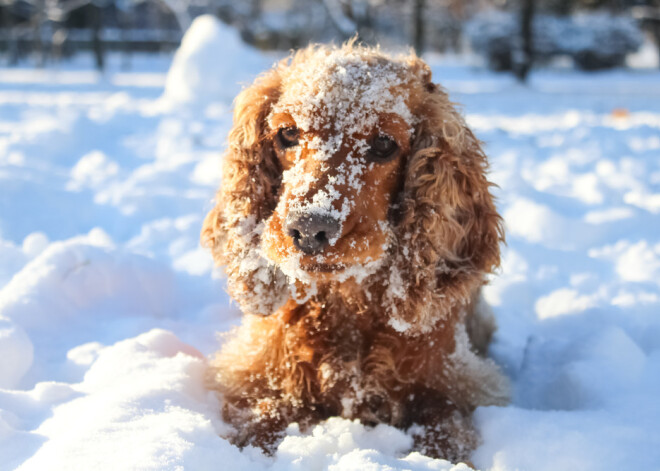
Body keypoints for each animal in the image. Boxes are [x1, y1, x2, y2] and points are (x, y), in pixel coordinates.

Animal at [202, 41, 510, 464]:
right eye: (287, 133)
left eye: (383, 144)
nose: (309, 229)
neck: (348, 302)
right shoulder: (256, 375)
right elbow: (261, 419)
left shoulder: (458, 381)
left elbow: (444, 428)